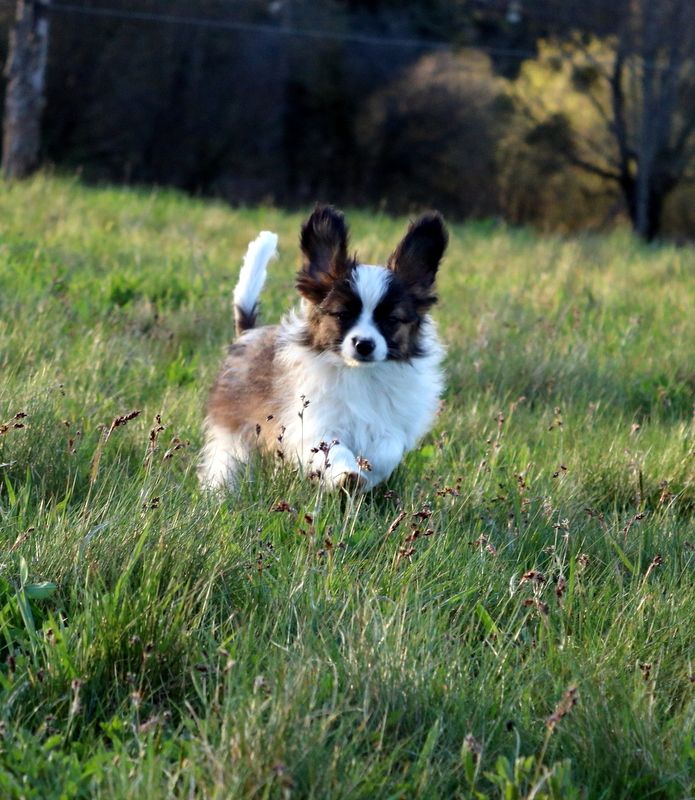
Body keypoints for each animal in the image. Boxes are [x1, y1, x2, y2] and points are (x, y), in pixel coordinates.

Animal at [200, 205, 452, 494]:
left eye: (390, 320)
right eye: (342, 315)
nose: (364, 344)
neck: (360, 374)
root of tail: (249, 333)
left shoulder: (394, 424)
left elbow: (388, 449)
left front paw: (369, 471)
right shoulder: (315, 424)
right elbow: (334, 449)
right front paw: (347, 474)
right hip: (232, 427)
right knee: (226, 458)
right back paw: (218, 491)